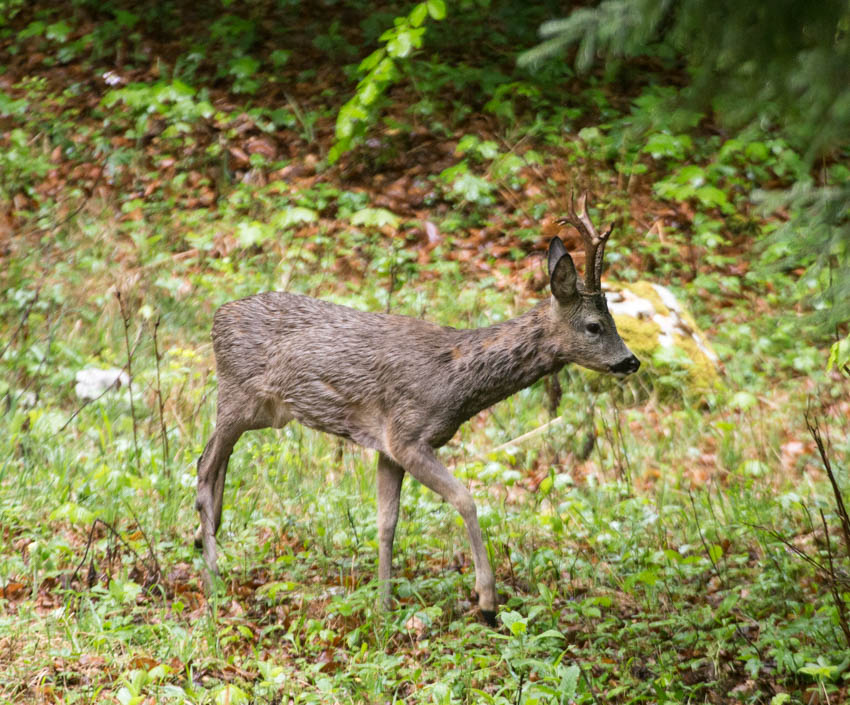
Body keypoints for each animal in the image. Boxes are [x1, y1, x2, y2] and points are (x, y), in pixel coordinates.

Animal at [197, 191, 636, 620]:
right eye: (595, 326)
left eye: (614, 321)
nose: (631, 361)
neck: (454, 381)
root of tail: (218, 315)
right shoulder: (407, 435)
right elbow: (465, 499)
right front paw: (487, 601)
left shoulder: (388, 447)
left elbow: (386, 522)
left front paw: (383, 606)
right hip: (237, 395)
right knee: (204, 467)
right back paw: (214, 579)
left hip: (264, 413)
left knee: (216, 464)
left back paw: (204, 542)